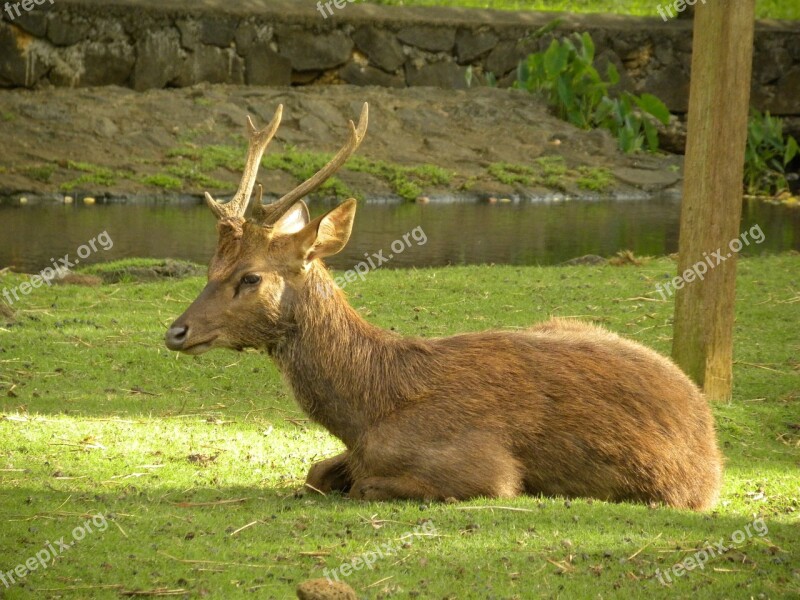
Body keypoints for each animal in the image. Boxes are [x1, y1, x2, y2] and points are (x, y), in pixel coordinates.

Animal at [167, 103, 724, 510]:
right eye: (209, 267)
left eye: (250, 276)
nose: (175, 331)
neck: (368, 412)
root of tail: (708, 428)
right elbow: (316, 473)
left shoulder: (486, 469)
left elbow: (367, 486)